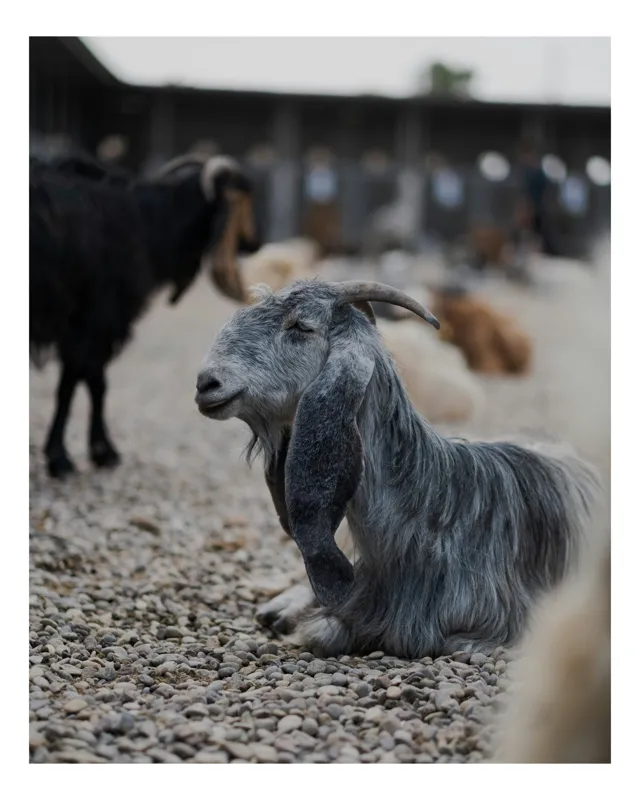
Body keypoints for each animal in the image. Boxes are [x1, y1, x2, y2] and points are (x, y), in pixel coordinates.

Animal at [30, 152, 260, 478]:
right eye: (241, 196)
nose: (255, 242)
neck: (146, 222)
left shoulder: (95, 323)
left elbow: (91, 381)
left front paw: (99, 452)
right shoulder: (94, 317)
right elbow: (78, 384)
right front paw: (66, 457)